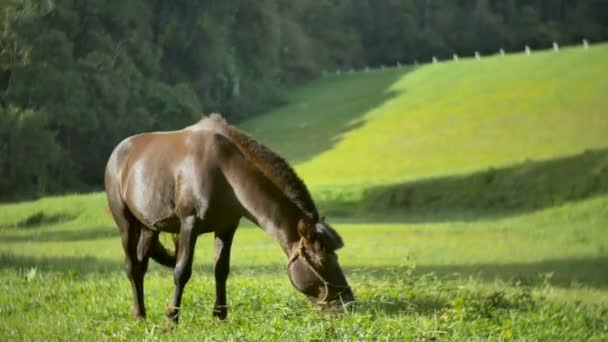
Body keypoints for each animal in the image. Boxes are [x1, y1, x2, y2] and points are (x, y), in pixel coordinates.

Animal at [104, 113, 352, 322]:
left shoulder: (226, 227)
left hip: (149, 227)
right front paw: (171, 319)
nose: (348, 303)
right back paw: (139, 315)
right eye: (322, 261)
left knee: (141, 266)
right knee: (132, 267)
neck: (224, 170)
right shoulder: (189, 224)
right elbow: (181, 271)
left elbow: (221, 270)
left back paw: (141, 312)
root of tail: (118, 152)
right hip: (126, 224)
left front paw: (220, 316)